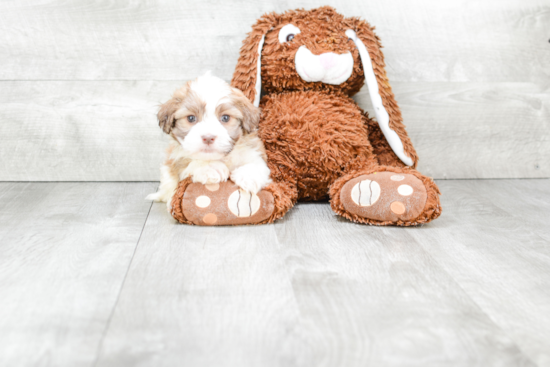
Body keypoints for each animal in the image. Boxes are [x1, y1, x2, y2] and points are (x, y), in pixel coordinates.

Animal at [147, 73, 272, 208]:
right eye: (191, 118)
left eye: (225, 118)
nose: (208, 137)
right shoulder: (175, 159)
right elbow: (188, 162)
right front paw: (210, 167)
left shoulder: (252, 149)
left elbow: (256, 162)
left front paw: (248, 176)